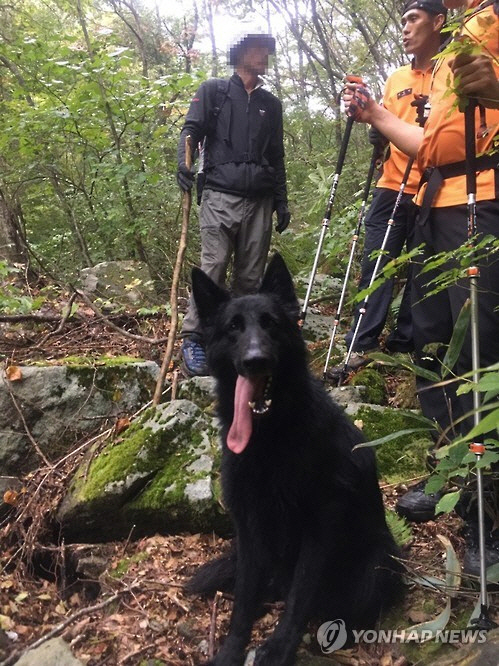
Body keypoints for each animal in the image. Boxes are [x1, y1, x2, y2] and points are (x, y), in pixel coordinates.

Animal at [188, 252, 402, 660]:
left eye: (271, 324)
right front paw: (232, 649)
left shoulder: (319, 526)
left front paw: (279, 647)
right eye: (234, 327)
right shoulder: (248, 525)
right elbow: (244, 598)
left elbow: (302, 593)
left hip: (379, 562)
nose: (255, 360)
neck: (271, 439)